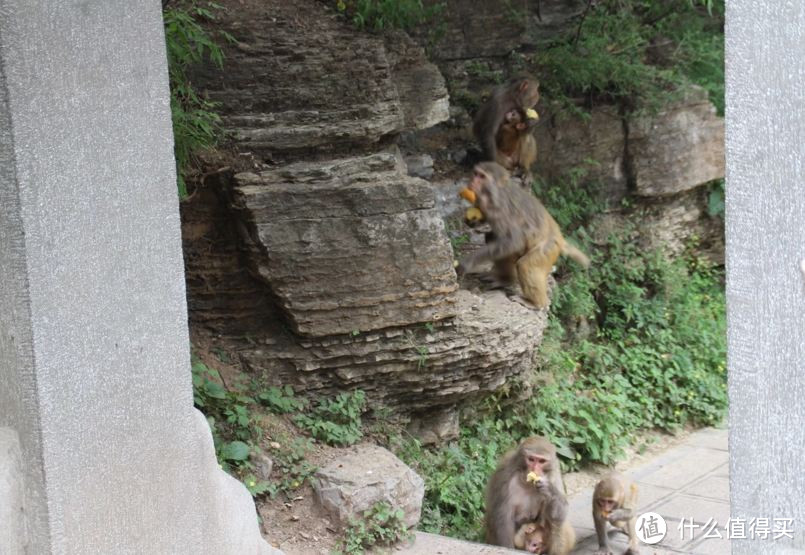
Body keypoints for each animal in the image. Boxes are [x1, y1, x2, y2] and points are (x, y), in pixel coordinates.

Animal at [458, 161, 592, 310]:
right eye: (475, 173)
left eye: (482, 176)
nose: (472, 182)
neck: (494, 194)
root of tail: (560, 238)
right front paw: (472, 221)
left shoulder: (502, 210)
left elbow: (514, 242)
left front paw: (467, 262)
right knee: (494, 239)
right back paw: (505, 279)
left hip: (548, 249)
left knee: (525, 264)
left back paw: (536, 303)